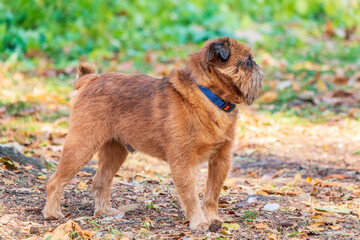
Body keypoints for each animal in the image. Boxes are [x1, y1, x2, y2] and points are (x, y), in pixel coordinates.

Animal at [43, 37, 264, 231]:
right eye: (247, 61)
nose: (258, 65)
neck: (208, 95)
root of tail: (91, 79)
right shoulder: (183, 163)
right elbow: (190, 194)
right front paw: (199, 222)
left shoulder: (221, 159)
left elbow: (212, 194)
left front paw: (212, 218)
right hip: (82, 145)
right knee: (56, 180)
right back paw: (52, 213)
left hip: (115, 151)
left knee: (100, 180)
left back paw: (104, 211)